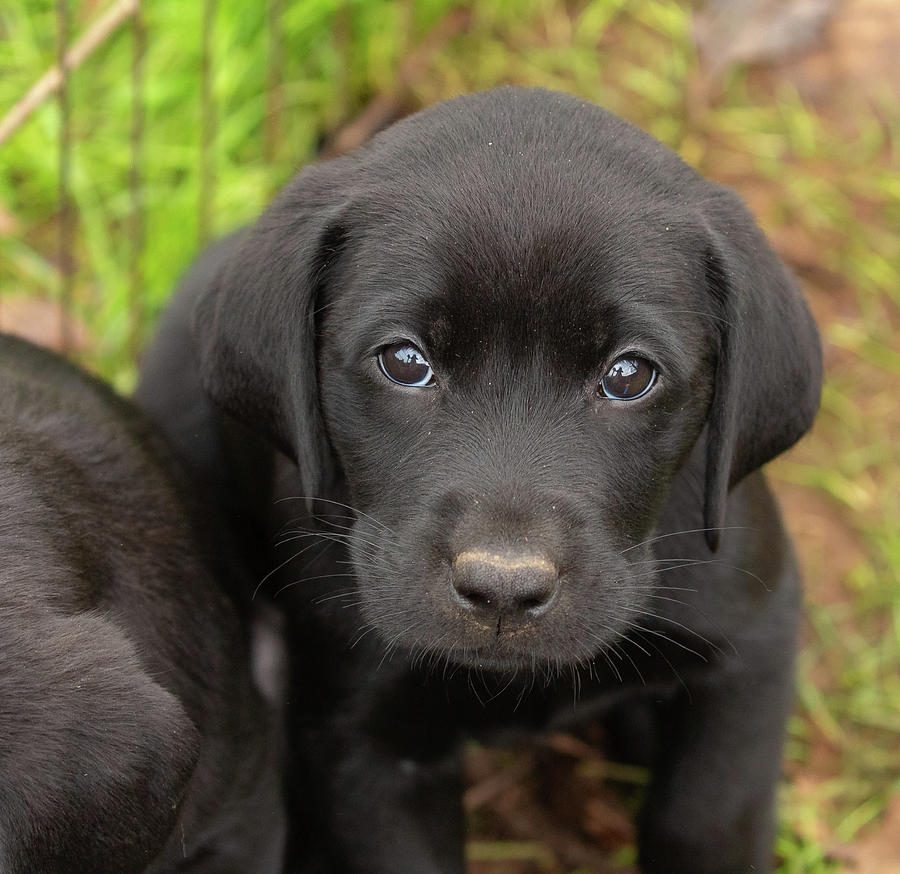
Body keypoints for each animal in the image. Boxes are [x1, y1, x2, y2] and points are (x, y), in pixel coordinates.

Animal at [139, 88, 824, 872]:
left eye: (629, 375)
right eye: (404, 361)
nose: (502, 588)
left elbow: (708, 818)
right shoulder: (362, 743)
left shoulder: (751, 641)